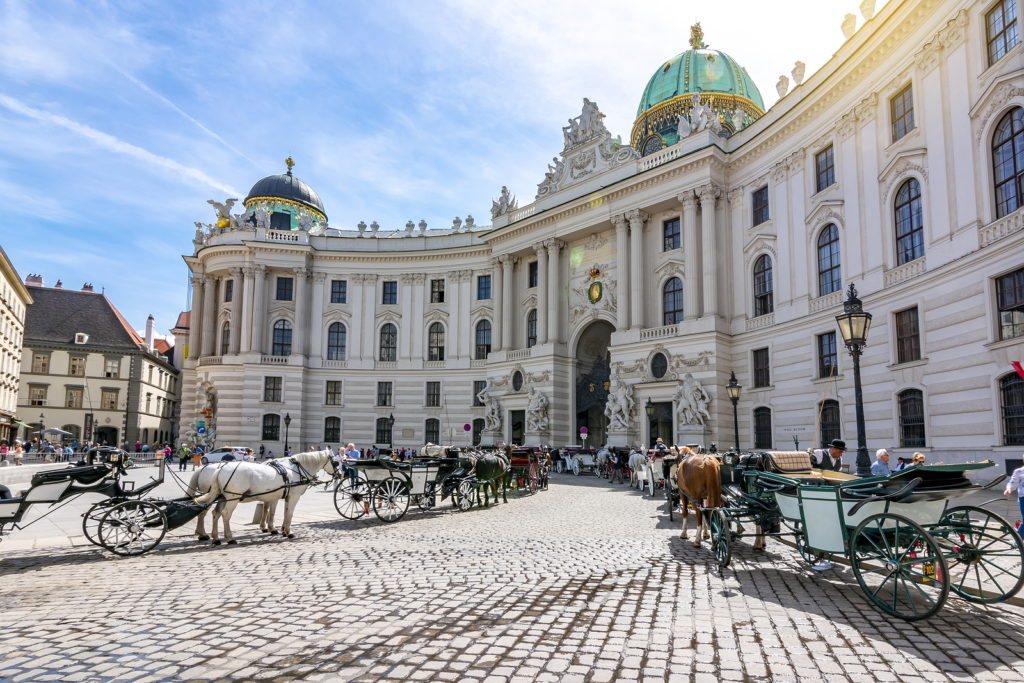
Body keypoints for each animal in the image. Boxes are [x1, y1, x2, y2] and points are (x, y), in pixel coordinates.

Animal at [190, 448, 337, 544]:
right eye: (335, 462)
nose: (339, 473)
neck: (297, 469)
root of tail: (220, 468)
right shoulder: (293, 496)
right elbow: (287, 513)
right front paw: (287, 532)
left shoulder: (280, 496)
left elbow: (277, 512)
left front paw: (279, 530)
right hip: (232, 498)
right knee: (224, 514)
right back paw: (228, 538)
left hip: (222, 497)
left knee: (215, 513)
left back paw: (215, 538)